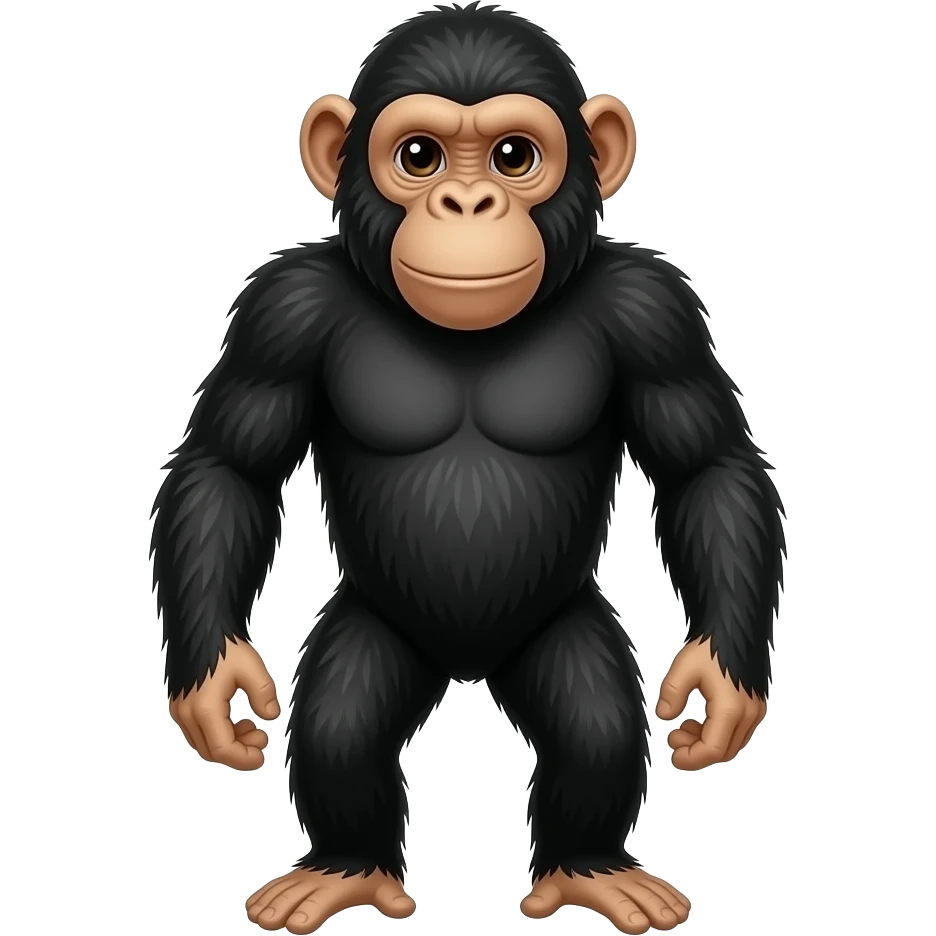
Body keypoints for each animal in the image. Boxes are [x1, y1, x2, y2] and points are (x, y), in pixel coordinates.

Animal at [150, 4, 786, 934]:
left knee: (593, 724)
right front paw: (216, 682)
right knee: (343, 725)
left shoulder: (654, 308)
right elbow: (230, 467)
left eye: (514, 156)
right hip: (378, 627)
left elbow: (705, 467)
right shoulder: (282, 309)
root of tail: (468, 663)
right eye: (419, 156)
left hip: (557, 627)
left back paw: (590, 869)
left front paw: (720, 683)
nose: (467, 201)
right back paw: (345, 869)